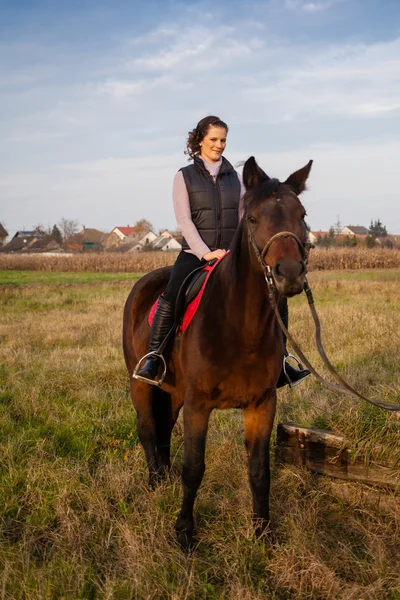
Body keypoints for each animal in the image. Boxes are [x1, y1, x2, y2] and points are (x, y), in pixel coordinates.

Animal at [122, 156, 312, 548]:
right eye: (252, 218)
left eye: (301, 214)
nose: (289, 274)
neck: (240, 327)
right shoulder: (199, 403)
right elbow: (194, 467)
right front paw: (184, 532)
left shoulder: (262, 403)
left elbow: (259, 470)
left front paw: (263, 531)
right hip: (142, 383)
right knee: (147, 427)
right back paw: (155, 481)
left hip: (174, 390)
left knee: (163, 429)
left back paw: (163, 477)